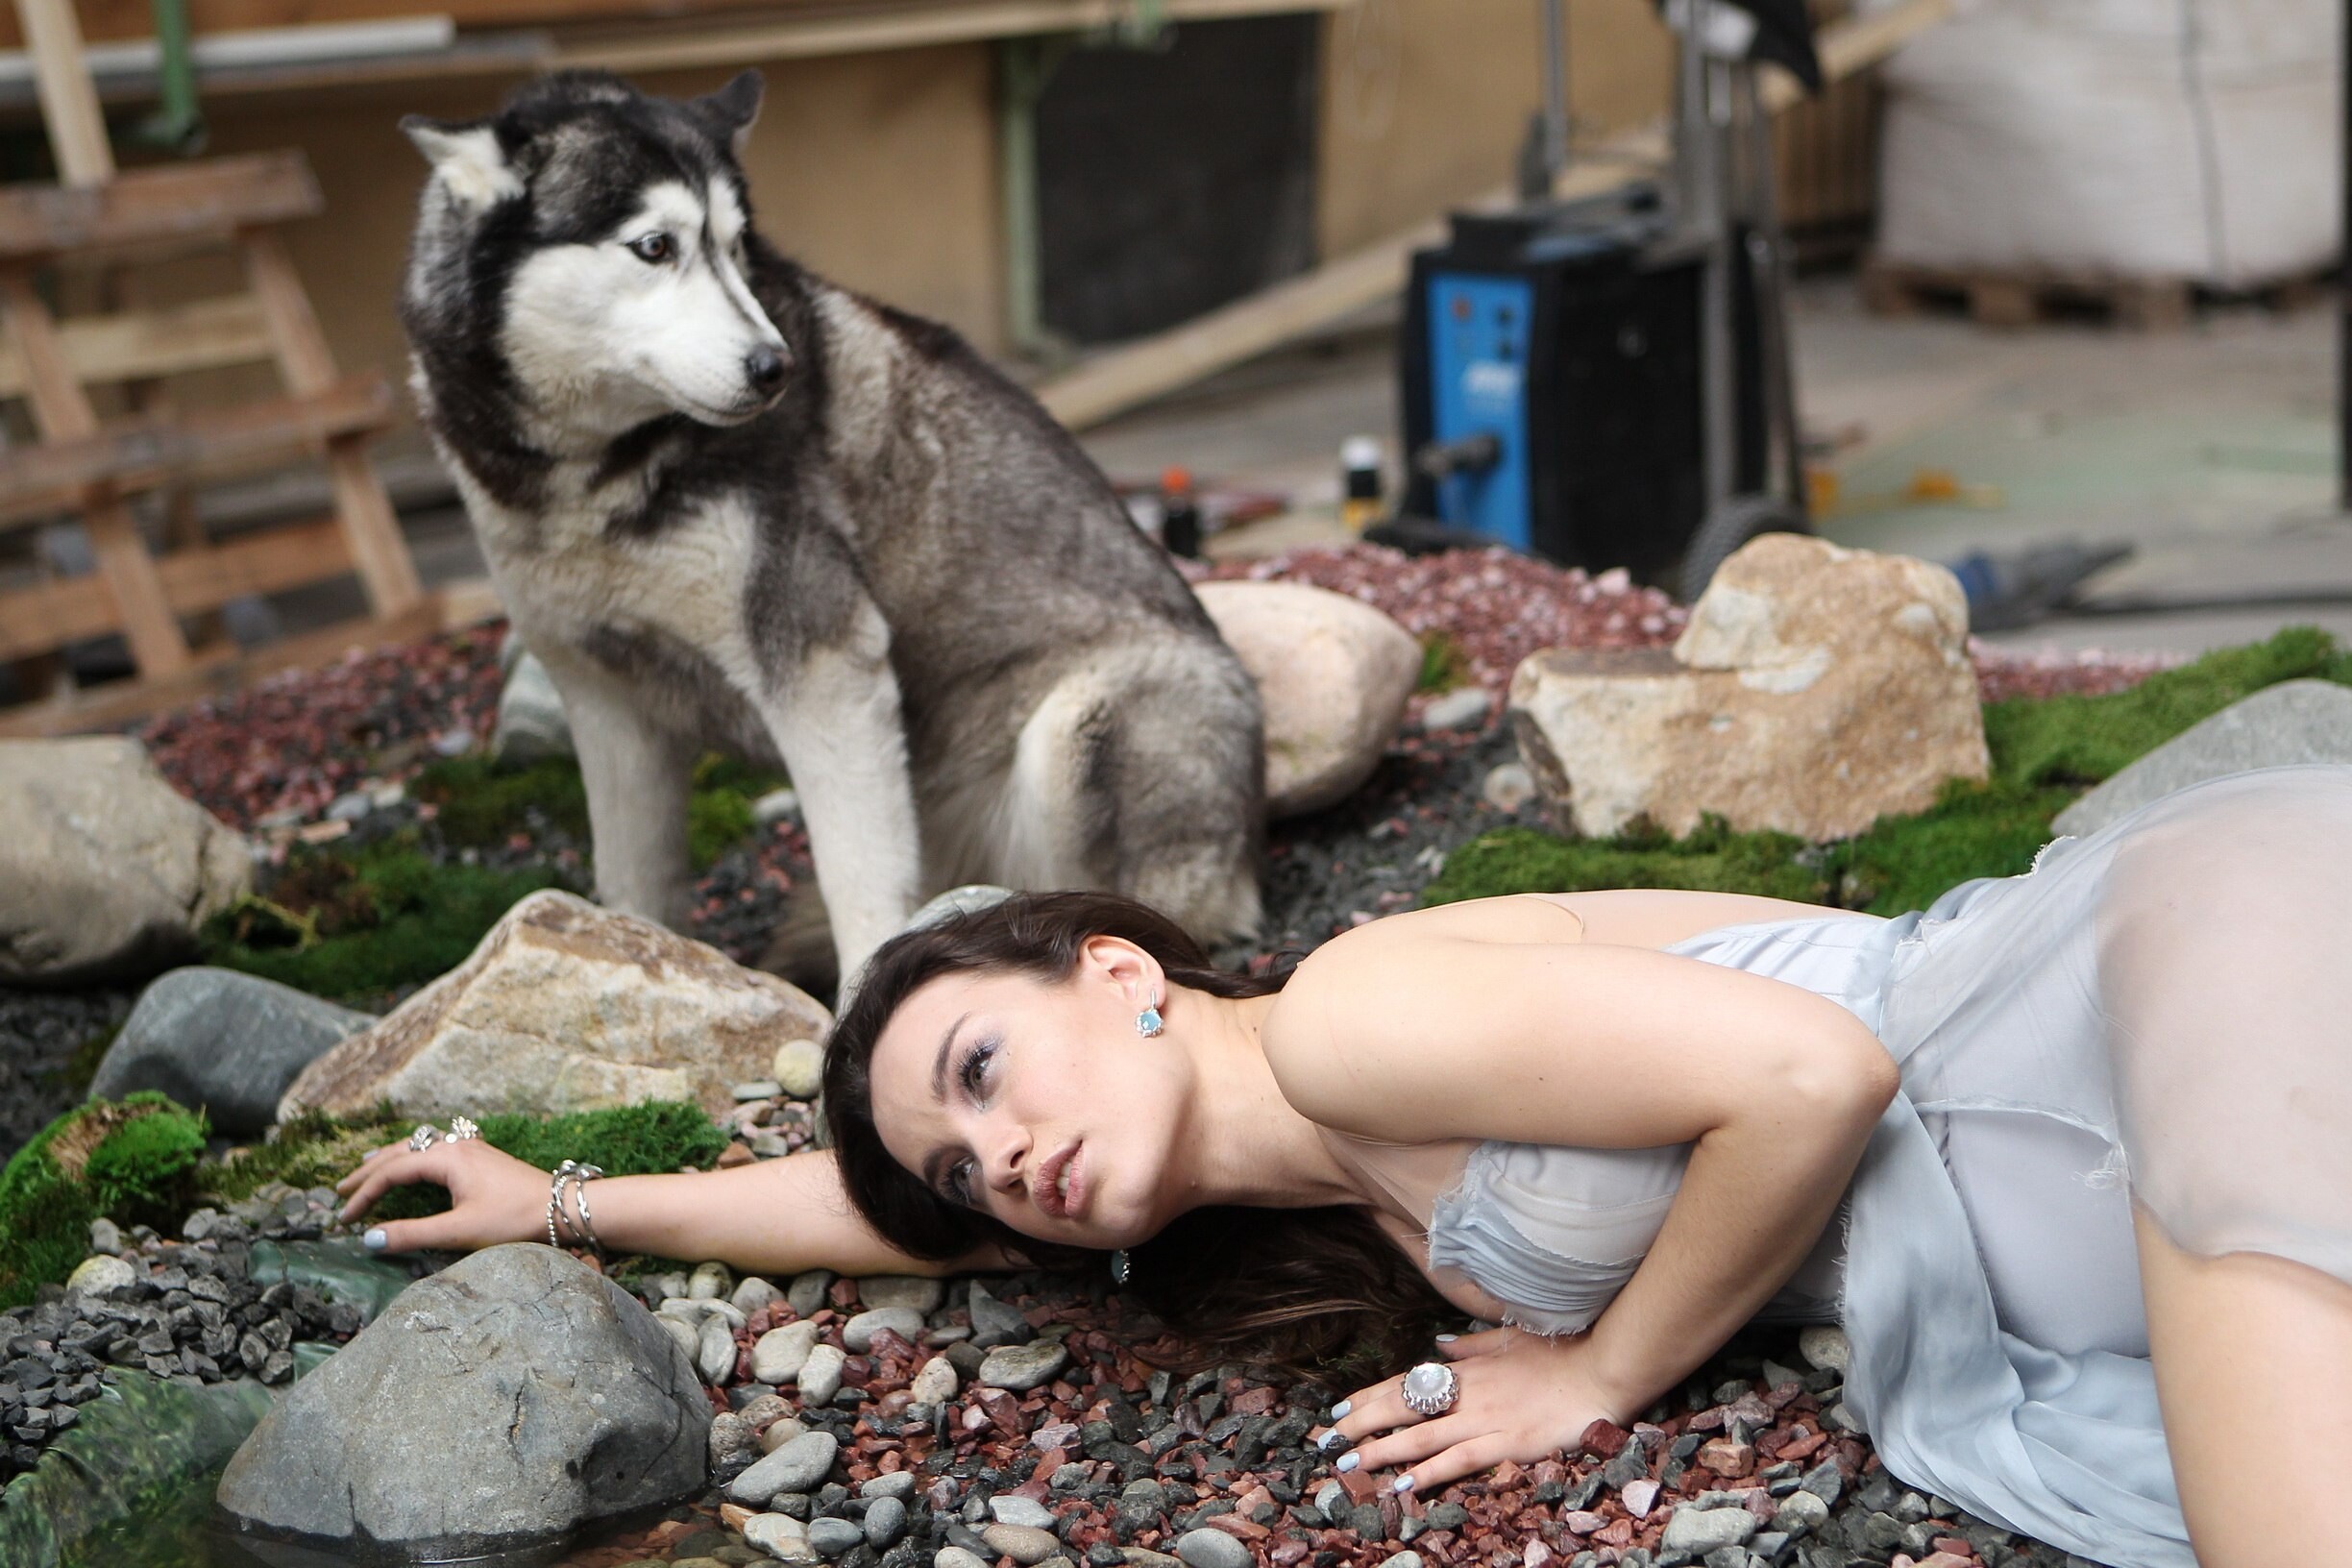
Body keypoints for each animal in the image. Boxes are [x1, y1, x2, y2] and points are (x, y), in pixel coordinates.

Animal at [398, 69, 1264, 987]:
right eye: (655, 247)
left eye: (735, 245)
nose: (774, 368)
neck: (591, 475)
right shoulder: (603, 699)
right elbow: (633, 884)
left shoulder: (824, 669)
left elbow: (859, 879)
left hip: (1077, 735)